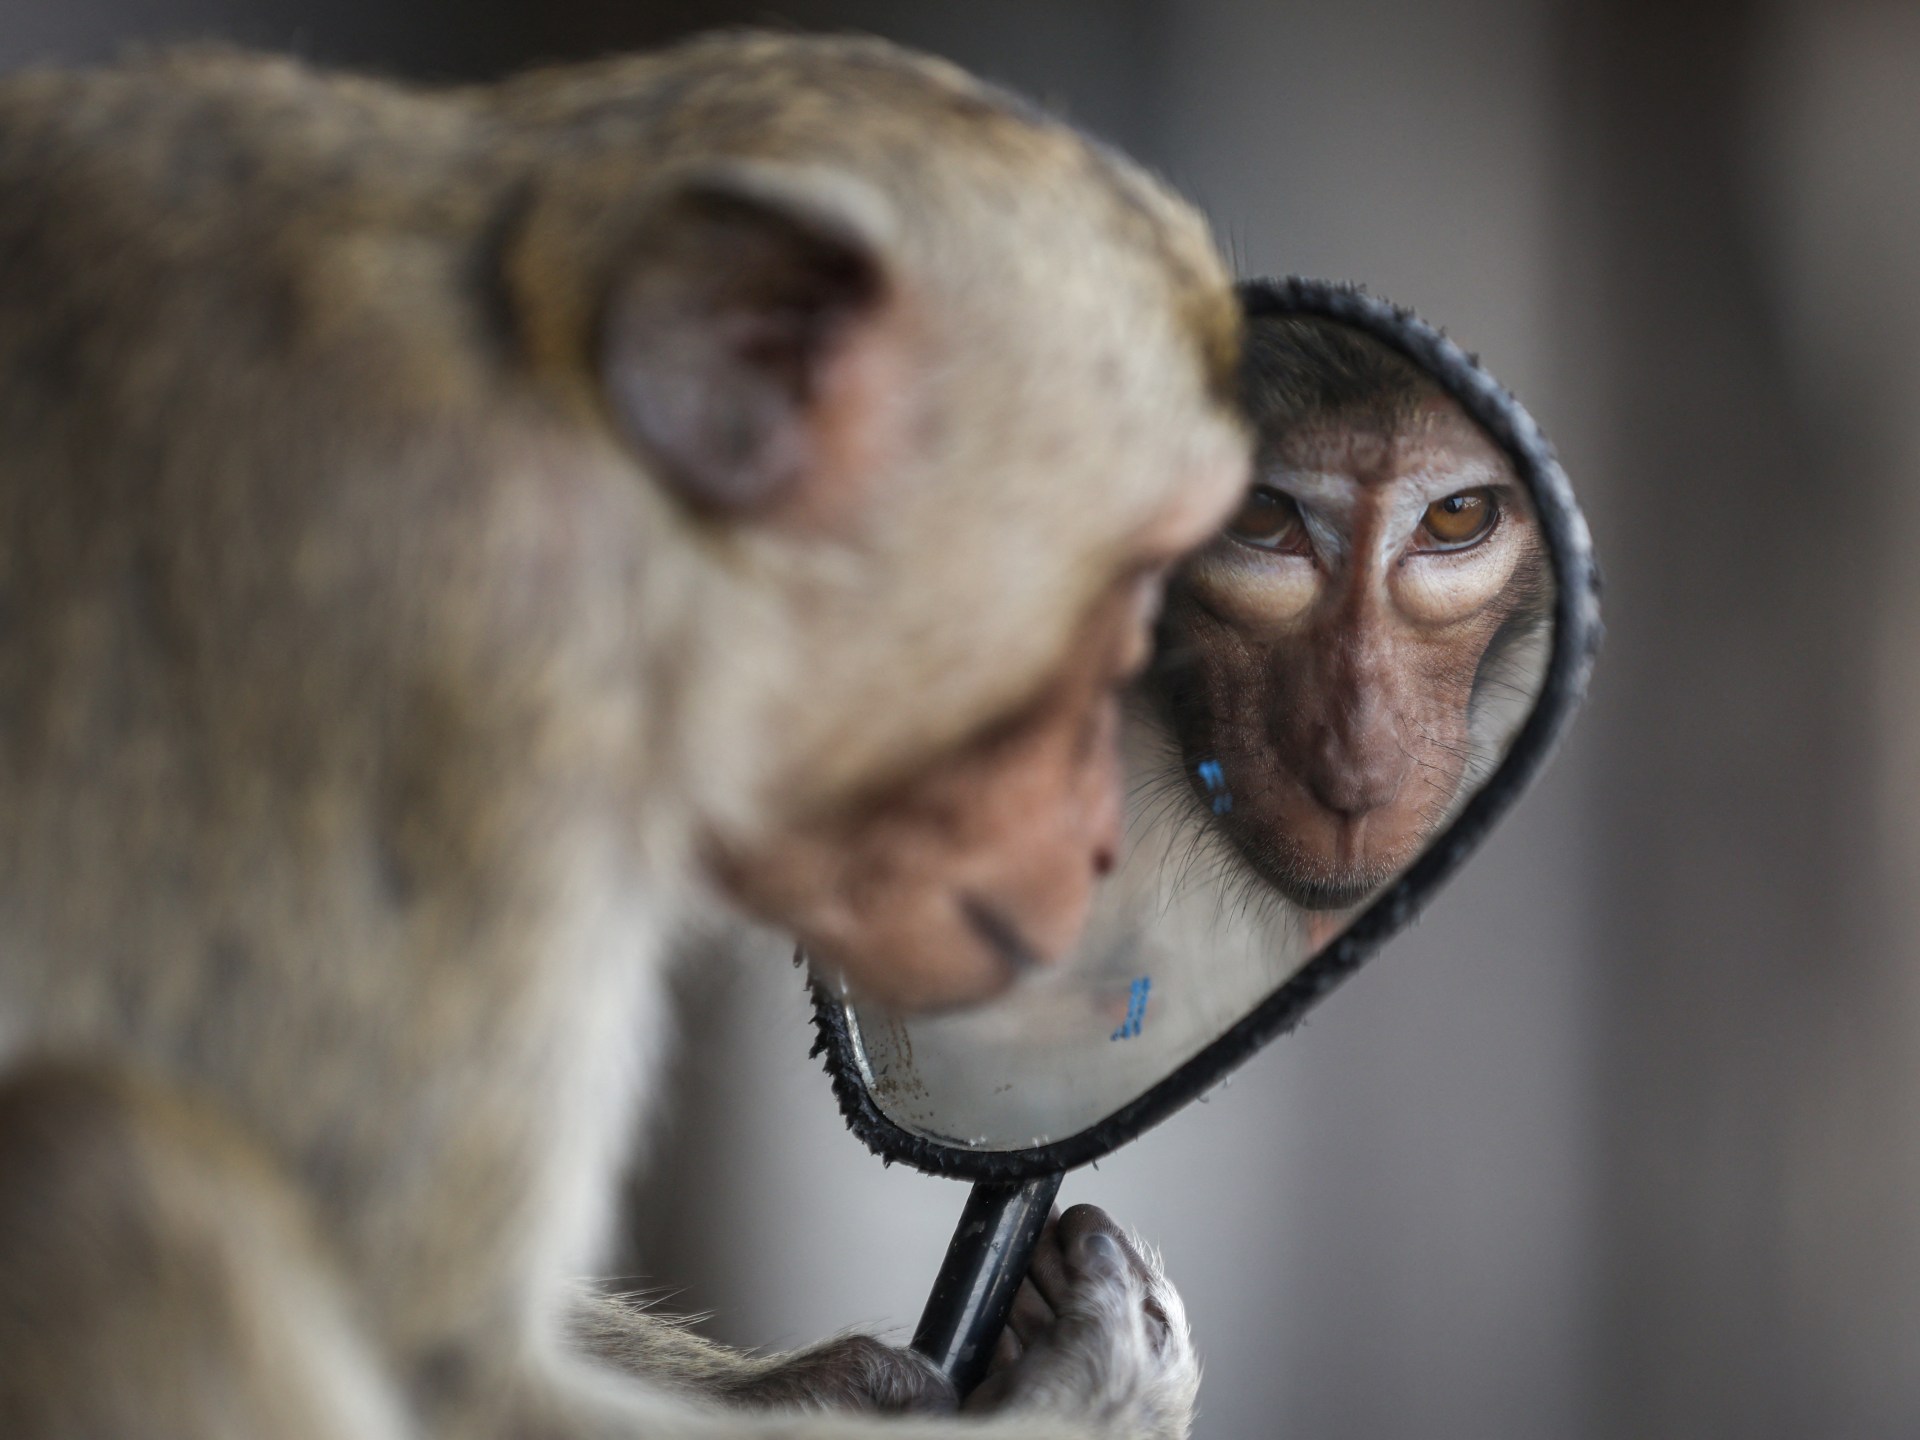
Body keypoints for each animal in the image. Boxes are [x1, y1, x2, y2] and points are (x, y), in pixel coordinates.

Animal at [0, 32, 1249, 1440]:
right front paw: (1088, 1387)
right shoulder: (469, 671)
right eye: (1144, 583)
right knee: (91, 1165)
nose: (1105, 840)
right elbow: (453, 1367)